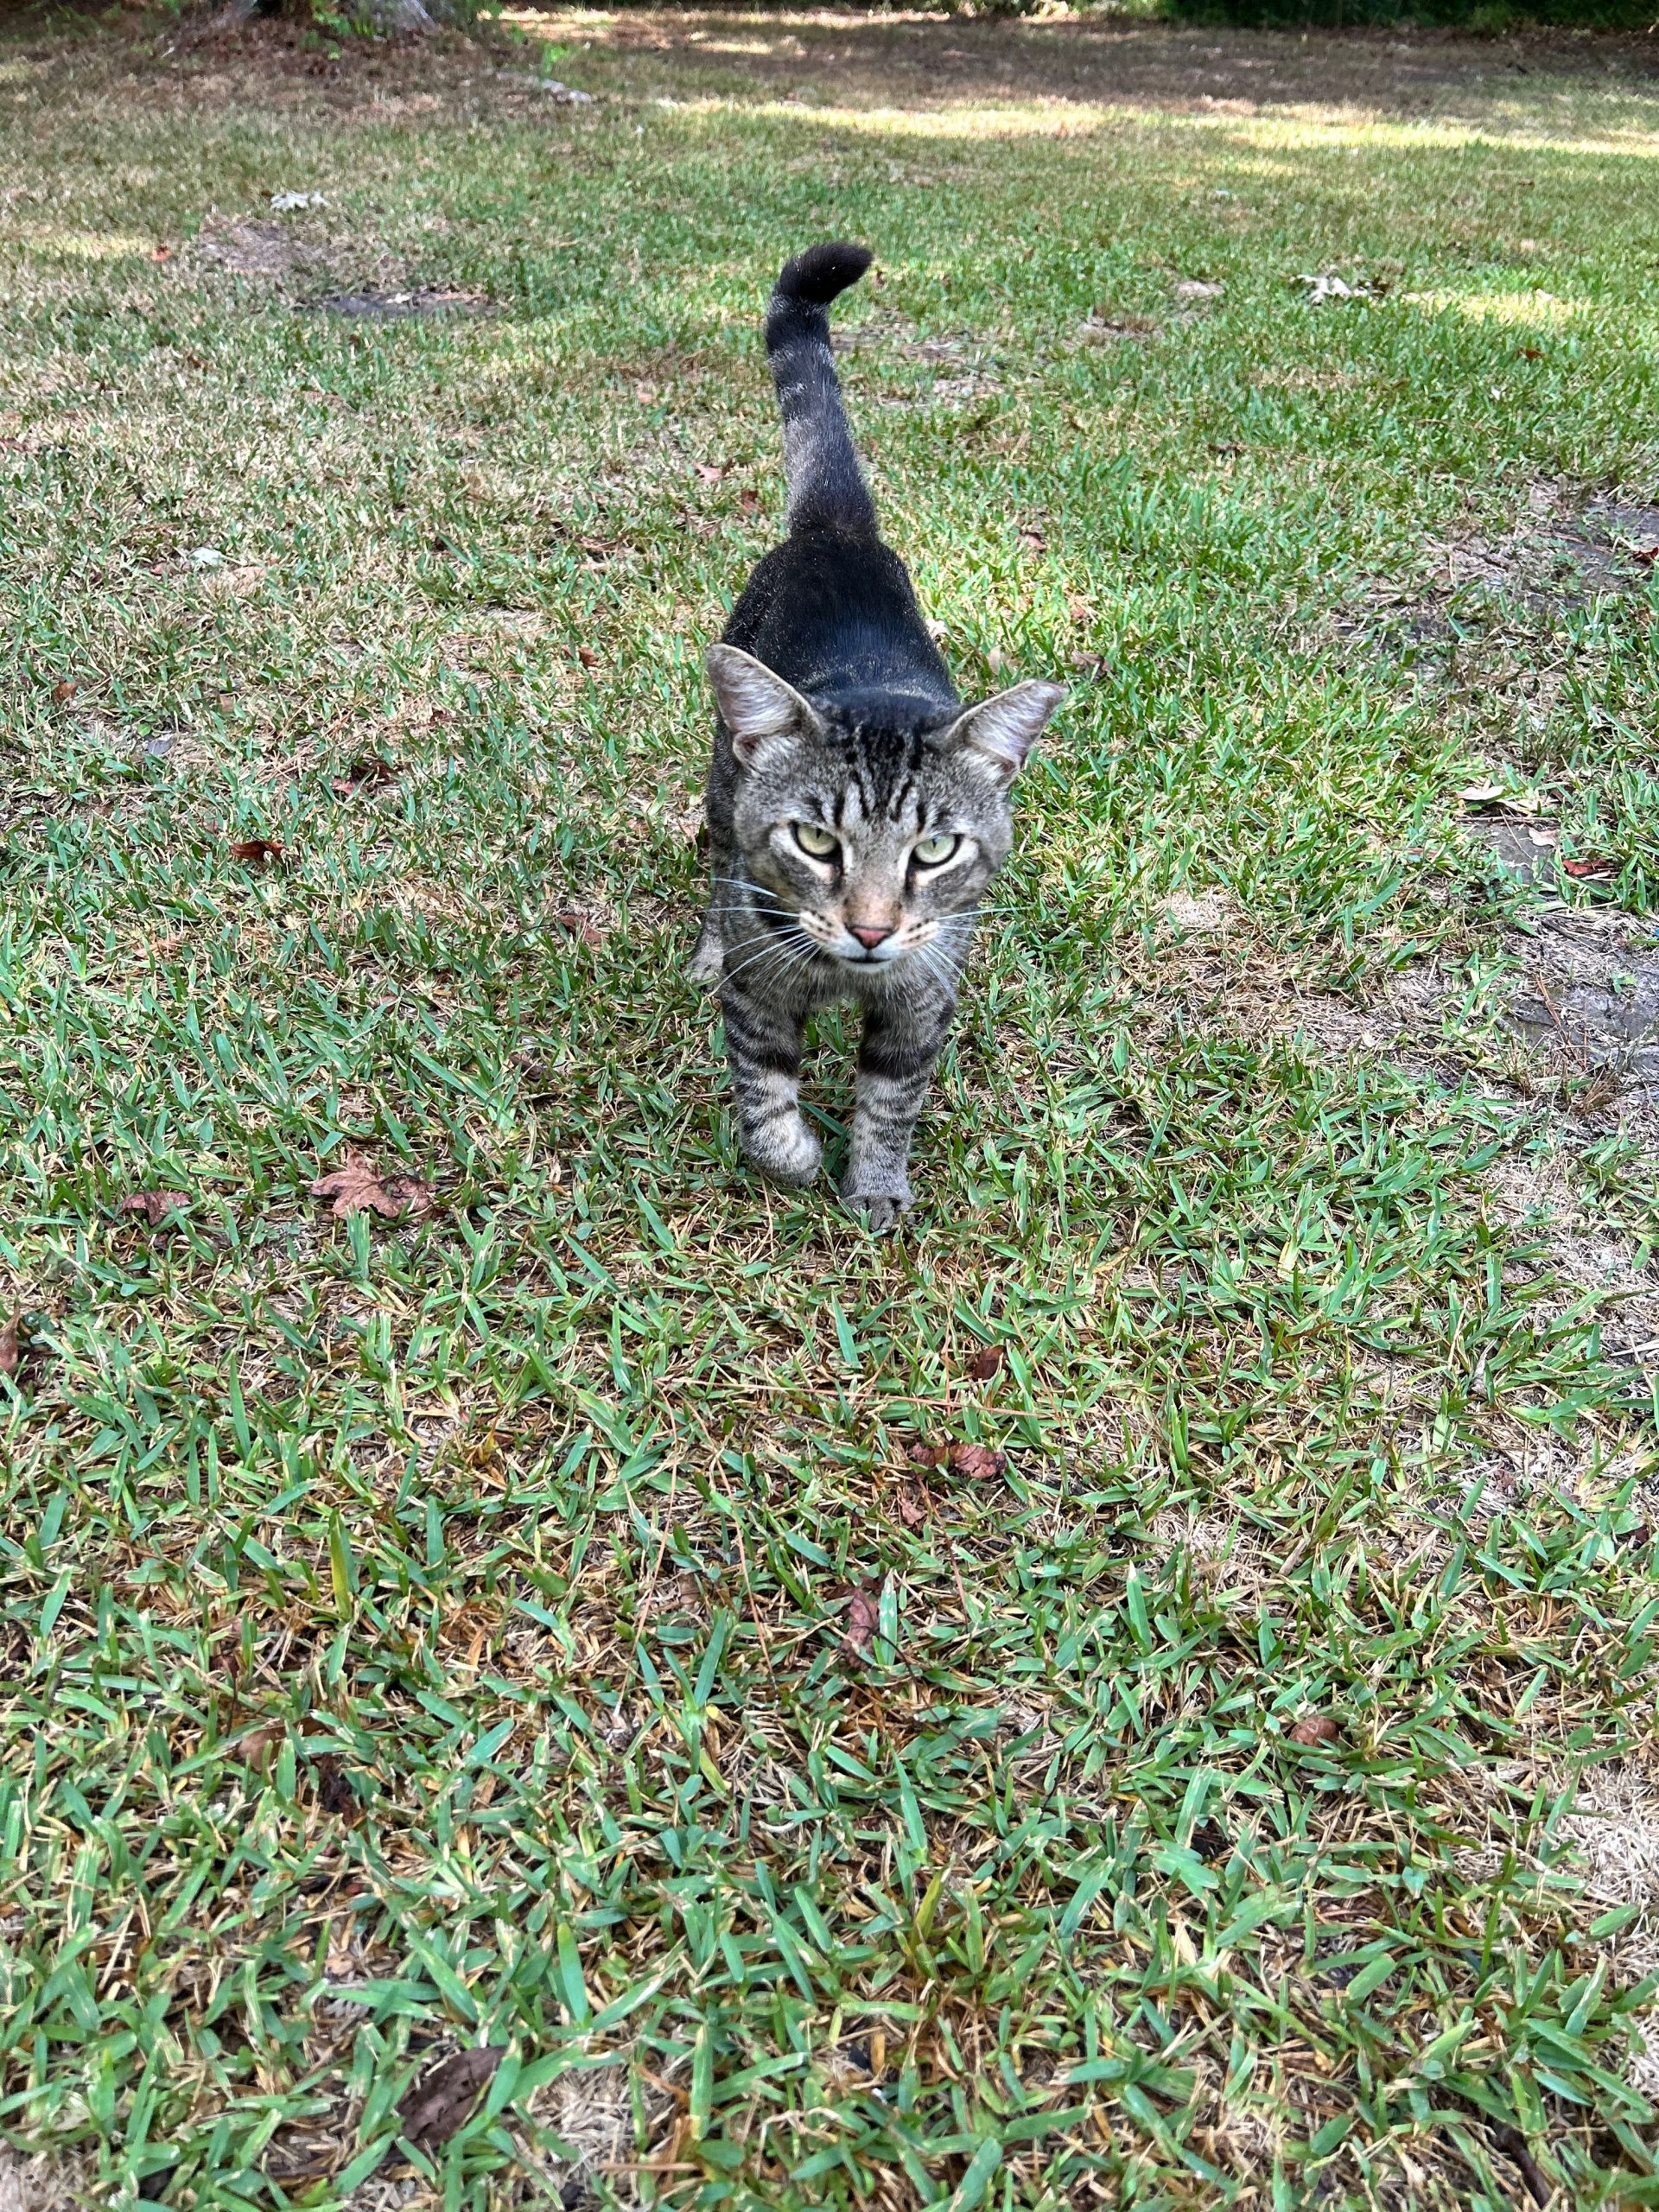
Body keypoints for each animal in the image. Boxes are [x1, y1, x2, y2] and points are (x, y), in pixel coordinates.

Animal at [690, 254, 1065, 1247]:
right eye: (816, 841)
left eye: (933, 851)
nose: (870, 929)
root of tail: (838, 532)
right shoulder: (758, 995)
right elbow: (763, 1101)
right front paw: (795, 1161)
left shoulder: (920, 1004)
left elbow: (892, 1105)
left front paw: (875, 1184)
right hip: (719, 783)